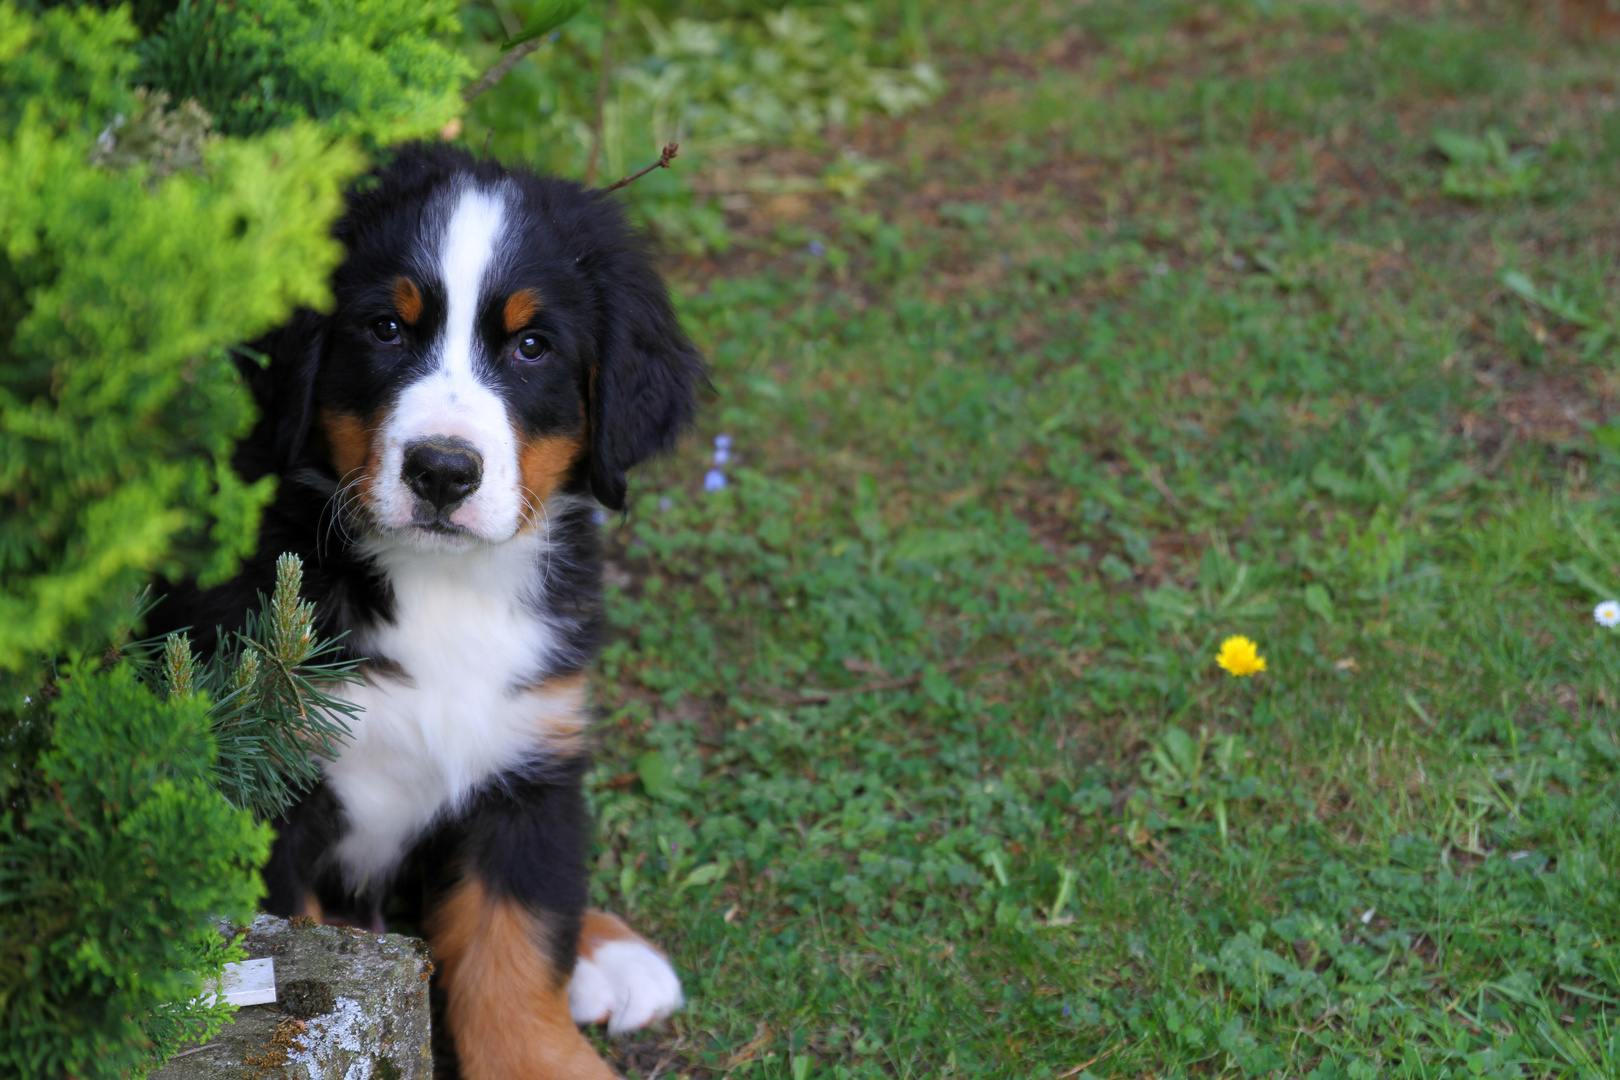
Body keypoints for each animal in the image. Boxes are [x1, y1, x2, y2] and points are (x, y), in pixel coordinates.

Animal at [152, 145, 703, 1080]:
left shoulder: (528, 763)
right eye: (385, 329)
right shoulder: (266, 784)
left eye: (531, 345)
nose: (443, 471)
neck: (444, 589)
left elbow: (516, 945)